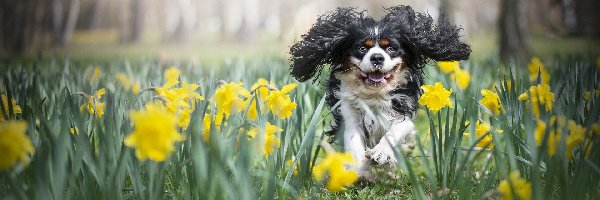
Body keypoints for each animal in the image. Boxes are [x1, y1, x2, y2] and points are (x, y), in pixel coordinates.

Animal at [288, 5, 472, 175]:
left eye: (390, 48)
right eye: (362, 48)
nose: (377, 57)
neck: (374, 93)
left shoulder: (404, 111)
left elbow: (395, 131)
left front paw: (382, 153)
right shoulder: (349, 113)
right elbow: (354, 141)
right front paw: (359, 171)